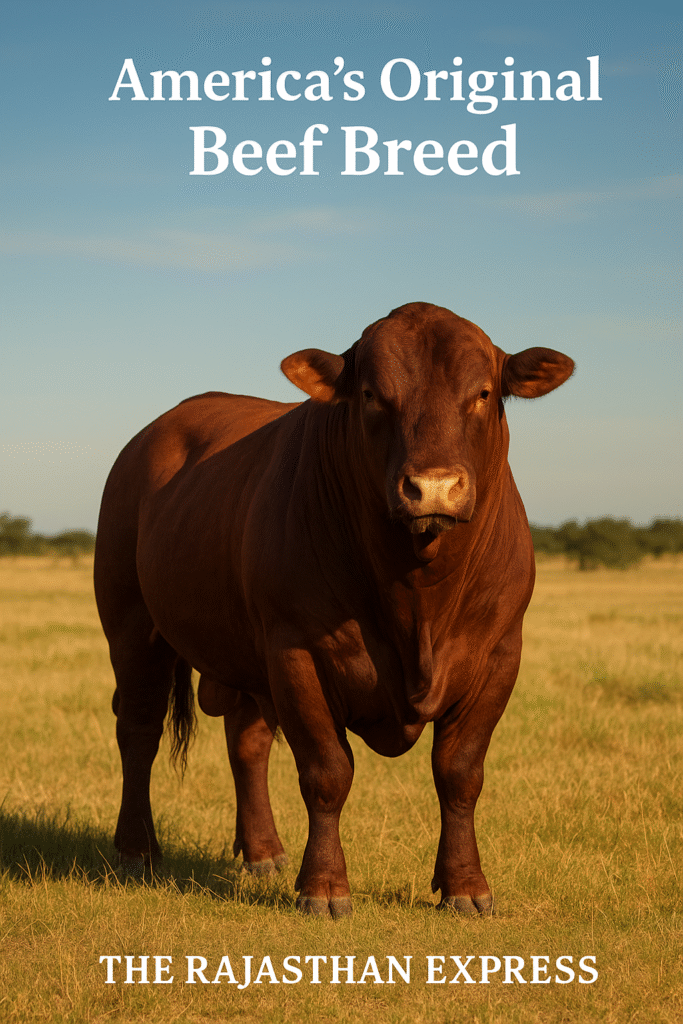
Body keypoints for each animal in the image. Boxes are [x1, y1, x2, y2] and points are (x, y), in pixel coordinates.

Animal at [94, 301, 573, 918]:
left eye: (484, 393)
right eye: (371, 395)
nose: (433, 488)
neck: (417, 595)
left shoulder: (498, 656)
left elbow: (460, 773)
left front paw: (466, 886)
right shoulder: (297, 651)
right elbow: (327, 772)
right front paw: (323, 887)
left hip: (244, 658)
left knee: (246, 741)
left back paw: (262, 851)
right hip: (132, 627)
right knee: (139, 730)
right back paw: (137, 849)